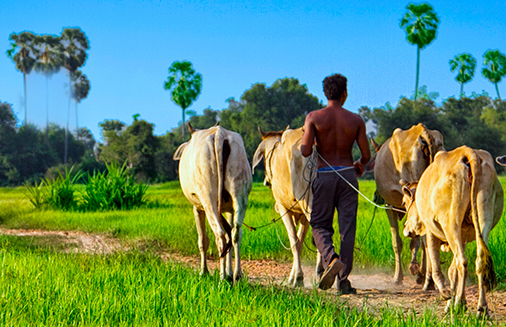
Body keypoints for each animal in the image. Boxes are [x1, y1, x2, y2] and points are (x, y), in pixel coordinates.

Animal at [174, 123, 253, 282]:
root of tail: (219, 134)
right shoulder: (229, 210)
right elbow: (231, 235)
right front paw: (229, 272)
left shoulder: (197, 207)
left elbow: (203, 240)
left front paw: (204, 272)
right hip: (240, 193)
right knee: (235, 233)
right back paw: (237, 274)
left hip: (208, 197)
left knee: (220, 235)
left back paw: (222, 278)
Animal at [251, 127, 322, 288]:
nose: (266, 181)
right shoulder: (302, 215)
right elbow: (300, 243)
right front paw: (293, 276)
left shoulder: (284, 208)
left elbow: (294, 242)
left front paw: (297, 278)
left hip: (308, 203)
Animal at [374, 124, 444, 286]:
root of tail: (422, 133)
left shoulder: (389, 206)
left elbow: (397, 242)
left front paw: (398, 277)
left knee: (424, 238)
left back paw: (428, 280)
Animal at [402, 146, 504, 316]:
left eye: (404, 202)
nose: (405, 228)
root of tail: (468, 152)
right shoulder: (462, 237)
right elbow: (452, 270)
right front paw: (454, 301)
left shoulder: (431, 232)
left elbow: (437, 266)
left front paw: (446, 295)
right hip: (485, 217)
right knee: (479, 261)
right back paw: (482, 309)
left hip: (450, 221)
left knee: (462, 261)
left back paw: (460, 306)